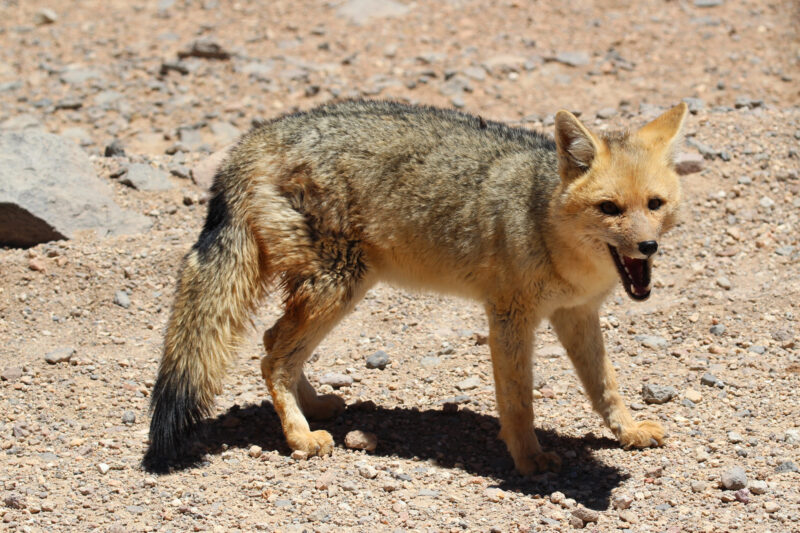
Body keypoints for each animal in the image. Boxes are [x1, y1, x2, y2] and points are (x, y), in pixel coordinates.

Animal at [144, 97, 688, 472]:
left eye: (655, 204)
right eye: (609, 208)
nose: (648, 248)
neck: (543, 220)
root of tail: (253, 140)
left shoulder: (576, 313)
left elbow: (605, 384)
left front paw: (627, 430)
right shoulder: (509, 316)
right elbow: (518, 399)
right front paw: (529, 459)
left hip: (339, 291)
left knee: (273, 341)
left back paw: (314, 407)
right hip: (337, 288)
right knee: (272, 357)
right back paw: (300, 438)